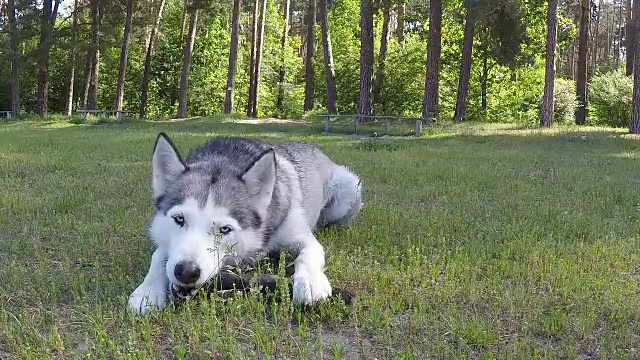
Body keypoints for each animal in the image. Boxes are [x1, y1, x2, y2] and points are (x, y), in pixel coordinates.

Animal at [127, 133, 362, 316]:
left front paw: (310, 282)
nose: (186, 272)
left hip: (348, 189)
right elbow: (158, 255)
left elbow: (308, 254)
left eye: (225, 229)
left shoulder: (301, 237)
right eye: (179, 219)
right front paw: (147, 291)